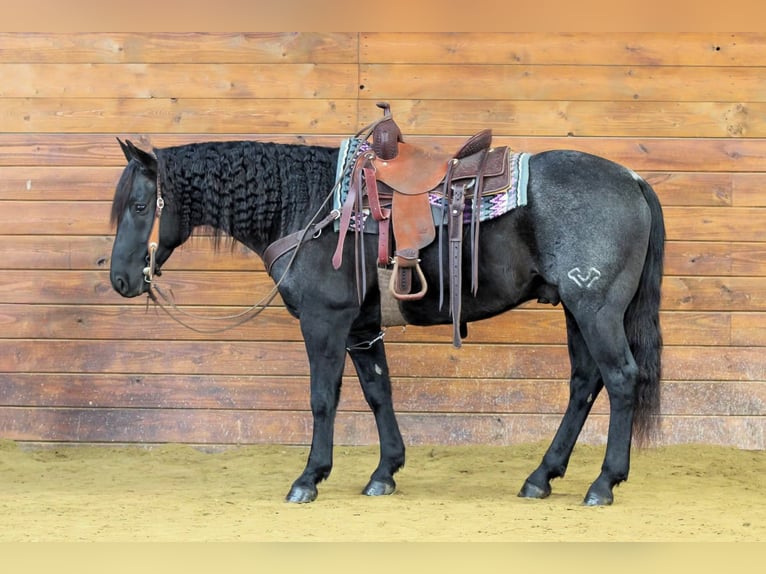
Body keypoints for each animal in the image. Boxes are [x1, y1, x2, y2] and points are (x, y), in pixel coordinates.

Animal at [109, 132, 664, 506]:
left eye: (139, 205)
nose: (120, 279)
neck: (312, 208)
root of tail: (633, 179)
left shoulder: (324, 321)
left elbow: (322, 399)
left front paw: (309, 478)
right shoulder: (359, 327)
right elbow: (379, 392)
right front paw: (385, 472)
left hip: (595, 307)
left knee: (620, 378)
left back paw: (603, 483)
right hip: (574, 308)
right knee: (584, 383)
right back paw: (541, 477)